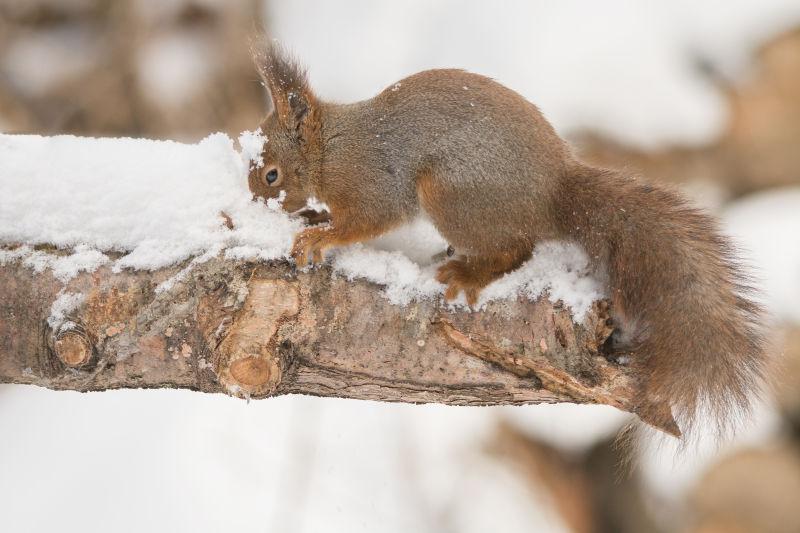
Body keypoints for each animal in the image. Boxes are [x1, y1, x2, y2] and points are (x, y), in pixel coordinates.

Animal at [247, 43, 764, 434]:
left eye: (271, 174)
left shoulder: (371, 181)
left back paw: (467, 272)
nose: (254, 203)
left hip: (450, 194)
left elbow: (369, 218)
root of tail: (553, 193)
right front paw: (314, 215)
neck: (329, 147)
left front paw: (319, 237)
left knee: (517, 248)